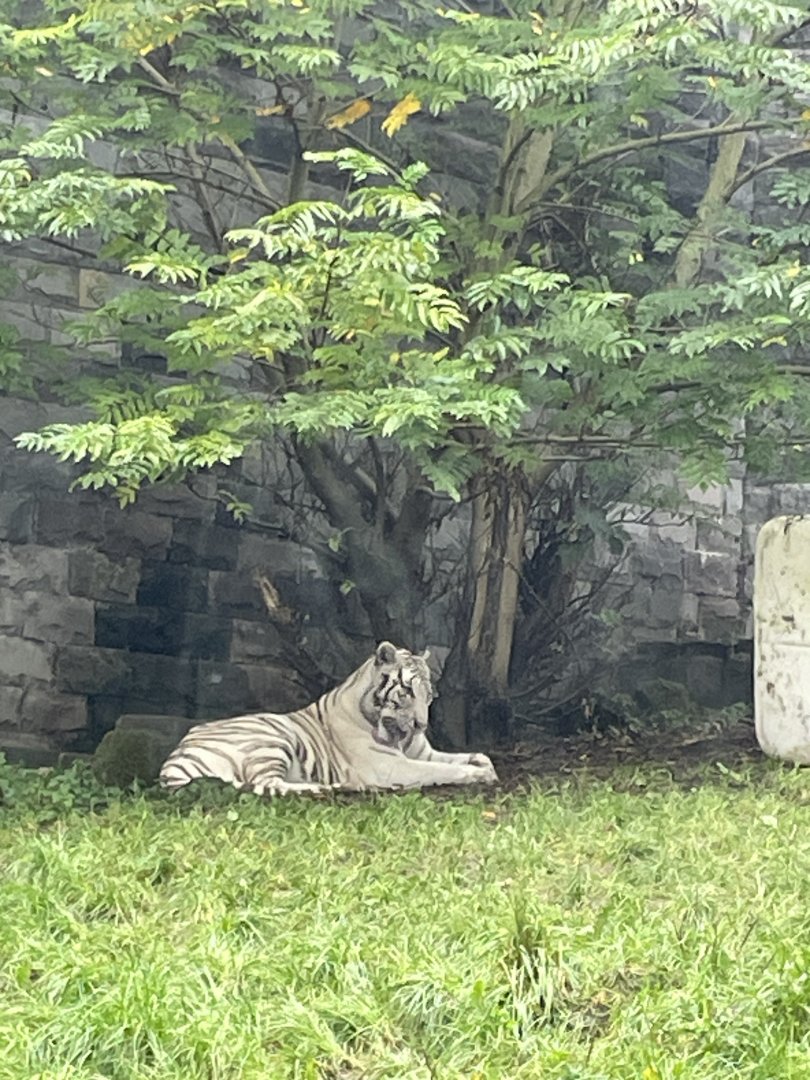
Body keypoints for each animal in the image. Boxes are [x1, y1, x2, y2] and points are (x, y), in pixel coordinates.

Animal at [158, 641, 498, 795]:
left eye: (429, 696)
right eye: (406, 692)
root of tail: (174, 758)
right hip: (272, 737)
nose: (421, 726)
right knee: (266, 783)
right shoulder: (391, 766)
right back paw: (327, 787)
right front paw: (478, 775)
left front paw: (484, 765)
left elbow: (471, 756)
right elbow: (442, 769)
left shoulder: (422, 752)